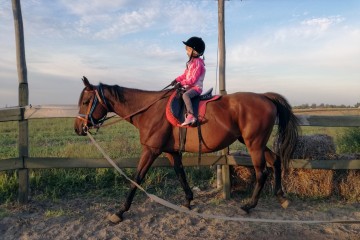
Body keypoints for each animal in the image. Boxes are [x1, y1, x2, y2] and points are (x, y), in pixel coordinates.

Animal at [74, 76, 298, 223]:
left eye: (85, 101)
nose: (78, 128)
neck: (149, 110)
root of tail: (265, 97)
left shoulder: (151, 150)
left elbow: (137, 178)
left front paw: (120, 211)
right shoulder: (171, 151)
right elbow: (180, 173)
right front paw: (188, 201)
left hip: (254, 144)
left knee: (262, 172)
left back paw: (249, 205)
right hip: (253, 142)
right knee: (276, 160)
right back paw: (281, 197)